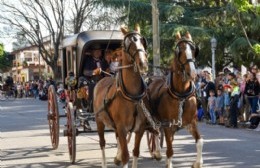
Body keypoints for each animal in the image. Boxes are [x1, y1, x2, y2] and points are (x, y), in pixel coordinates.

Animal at [93, 24, 150, 168]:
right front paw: (120, 158)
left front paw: (119, 158)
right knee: (102, 143)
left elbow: (135, 152)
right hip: (99, 120)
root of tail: (102, 79)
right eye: (127, 44)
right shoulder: (122, 128)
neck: (132, 96)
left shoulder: (140, 128)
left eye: (142, 41)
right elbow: (126, 156)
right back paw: (104, 163)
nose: (143, 63)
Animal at [148, 31, 203, 168]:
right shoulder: (168, 125)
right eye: (179, 50)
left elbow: (199, 141)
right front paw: (168, 163)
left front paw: (197, 163)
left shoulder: (192, 122)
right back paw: (157, 153)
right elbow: (170, 149)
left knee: (157, 132)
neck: (181, 95)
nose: (192, 73)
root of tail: (153, 78)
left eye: (194, 50)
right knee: (154, 132)